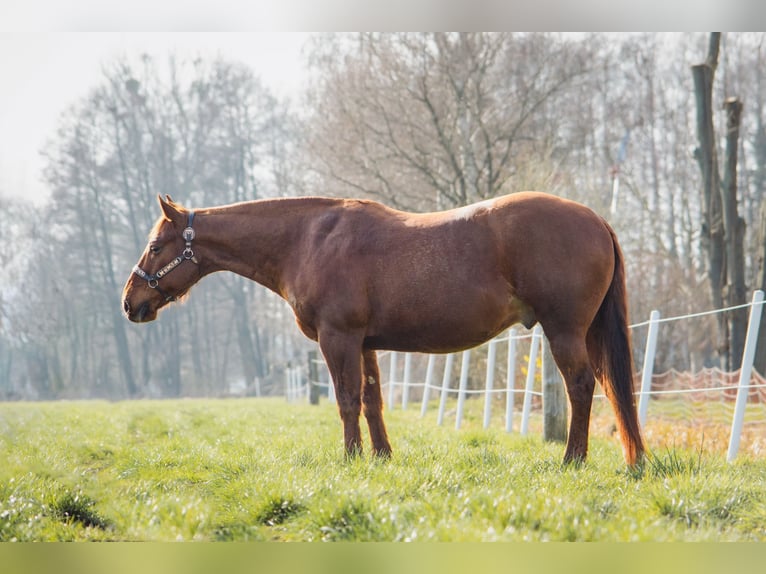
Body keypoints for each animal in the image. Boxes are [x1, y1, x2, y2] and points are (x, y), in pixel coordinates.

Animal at [123, 192, 644, 468]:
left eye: (155, 245)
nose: (131, 303)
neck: (308, 240)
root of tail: (595, 218)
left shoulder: (338, 339)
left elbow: (347, 400)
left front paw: (351, 458)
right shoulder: (365, 344)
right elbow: (373, 399)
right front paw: (381, 457)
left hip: (564, 332)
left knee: (582, 387)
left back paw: (573, 459)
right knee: (609, 388)